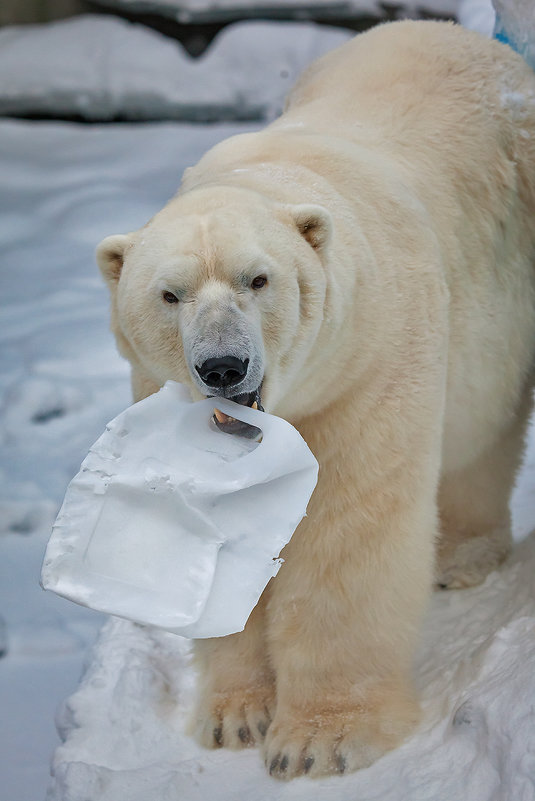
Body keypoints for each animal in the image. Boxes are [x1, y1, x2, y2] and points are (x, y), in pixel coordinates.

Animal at [96, 18, 535, 780]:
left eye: (258, 279)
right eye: (169, 294)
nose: (222, 366)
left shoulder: (368, 360)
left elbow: (347, 529)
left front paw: (319, 741)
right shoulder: (167, 400)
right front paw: (233, 717)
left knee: (482, 431)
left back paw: (460, 557)